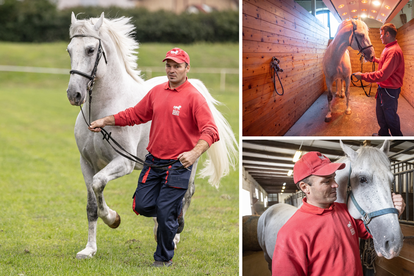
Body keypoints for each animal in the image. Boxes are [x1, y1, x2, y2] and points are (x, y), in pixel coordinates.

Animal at [66, 12, 238, 258]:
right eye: (69, 50)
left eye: (90, 50)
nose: (74, 94)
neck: (102, 110)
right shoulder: (86, 163)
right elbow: (91, 205)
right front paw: (89, 249)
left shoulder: (123, 163)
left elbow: (99, 185)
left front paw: (113, 218)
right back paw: (160, 228)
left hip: (189, 162)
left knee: (185, 194)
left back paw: (174, 235)